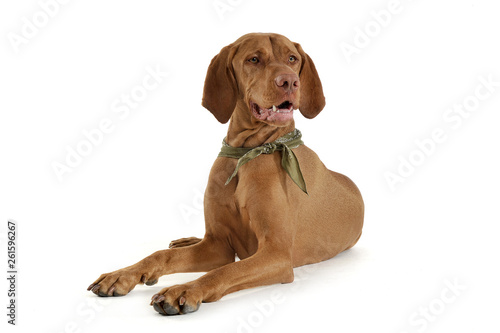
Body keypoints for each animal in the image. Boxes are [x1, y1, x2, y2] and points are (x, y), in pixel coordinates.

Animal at [88, 33, 366, 314]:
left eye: (292, 58)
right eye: (254, 59)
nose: (289, 81)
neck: (247, 153)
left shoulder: (276, 254)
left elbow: (226, 271)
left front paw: (184, 290)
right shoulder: (217, 245)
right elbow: (162, 255)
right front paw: (122, 275)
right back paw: (185, 241)